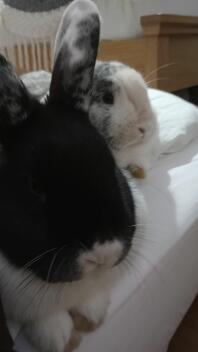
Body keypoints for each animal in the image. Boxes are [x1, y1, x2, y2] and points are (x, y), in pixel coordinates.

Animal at [0, 0, 145, 352]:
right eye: (35, 186)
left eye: (109, 162)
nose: (103, 253)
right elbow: (45, 320)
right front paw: (58, 337)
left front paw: (92, 315)